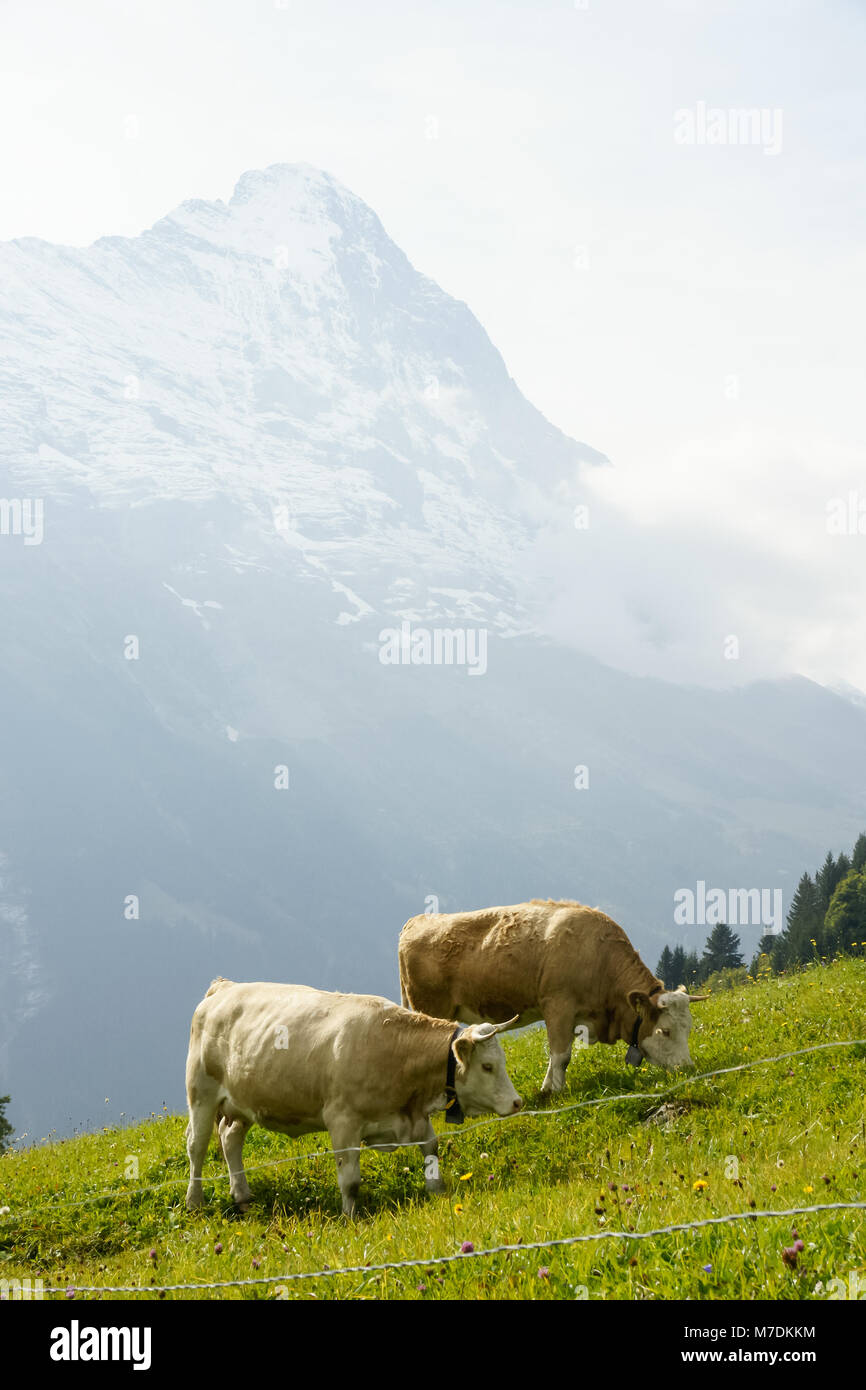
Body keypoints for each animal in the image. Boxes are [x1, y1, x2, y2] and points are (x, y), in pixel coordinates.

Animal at [185, 977, 522, 1217]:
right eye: (487, 1066)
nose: (517, 1102)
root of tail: (224, 987)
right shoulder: (342, 1121)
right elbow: (350, 1180)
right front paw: (350, 1217)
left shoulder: (414, 1116)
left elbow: (431, 1148)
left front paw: (436, 1191)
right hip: (201, 1094)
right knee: (197, 1146)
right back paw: (194, 1202)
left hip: (243, 1101)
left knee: (230, 1138)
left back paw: (242, 1195)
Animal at [398, 900, 707, 1095]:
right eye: (664, 1030)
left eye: (689, 1029)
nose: (688, 1068)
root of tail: (416, 921)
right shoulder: (558, 1006)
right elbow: (561, 1054)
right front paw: (554, 1090)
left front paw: (549, 1086)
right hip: (430, 1008)